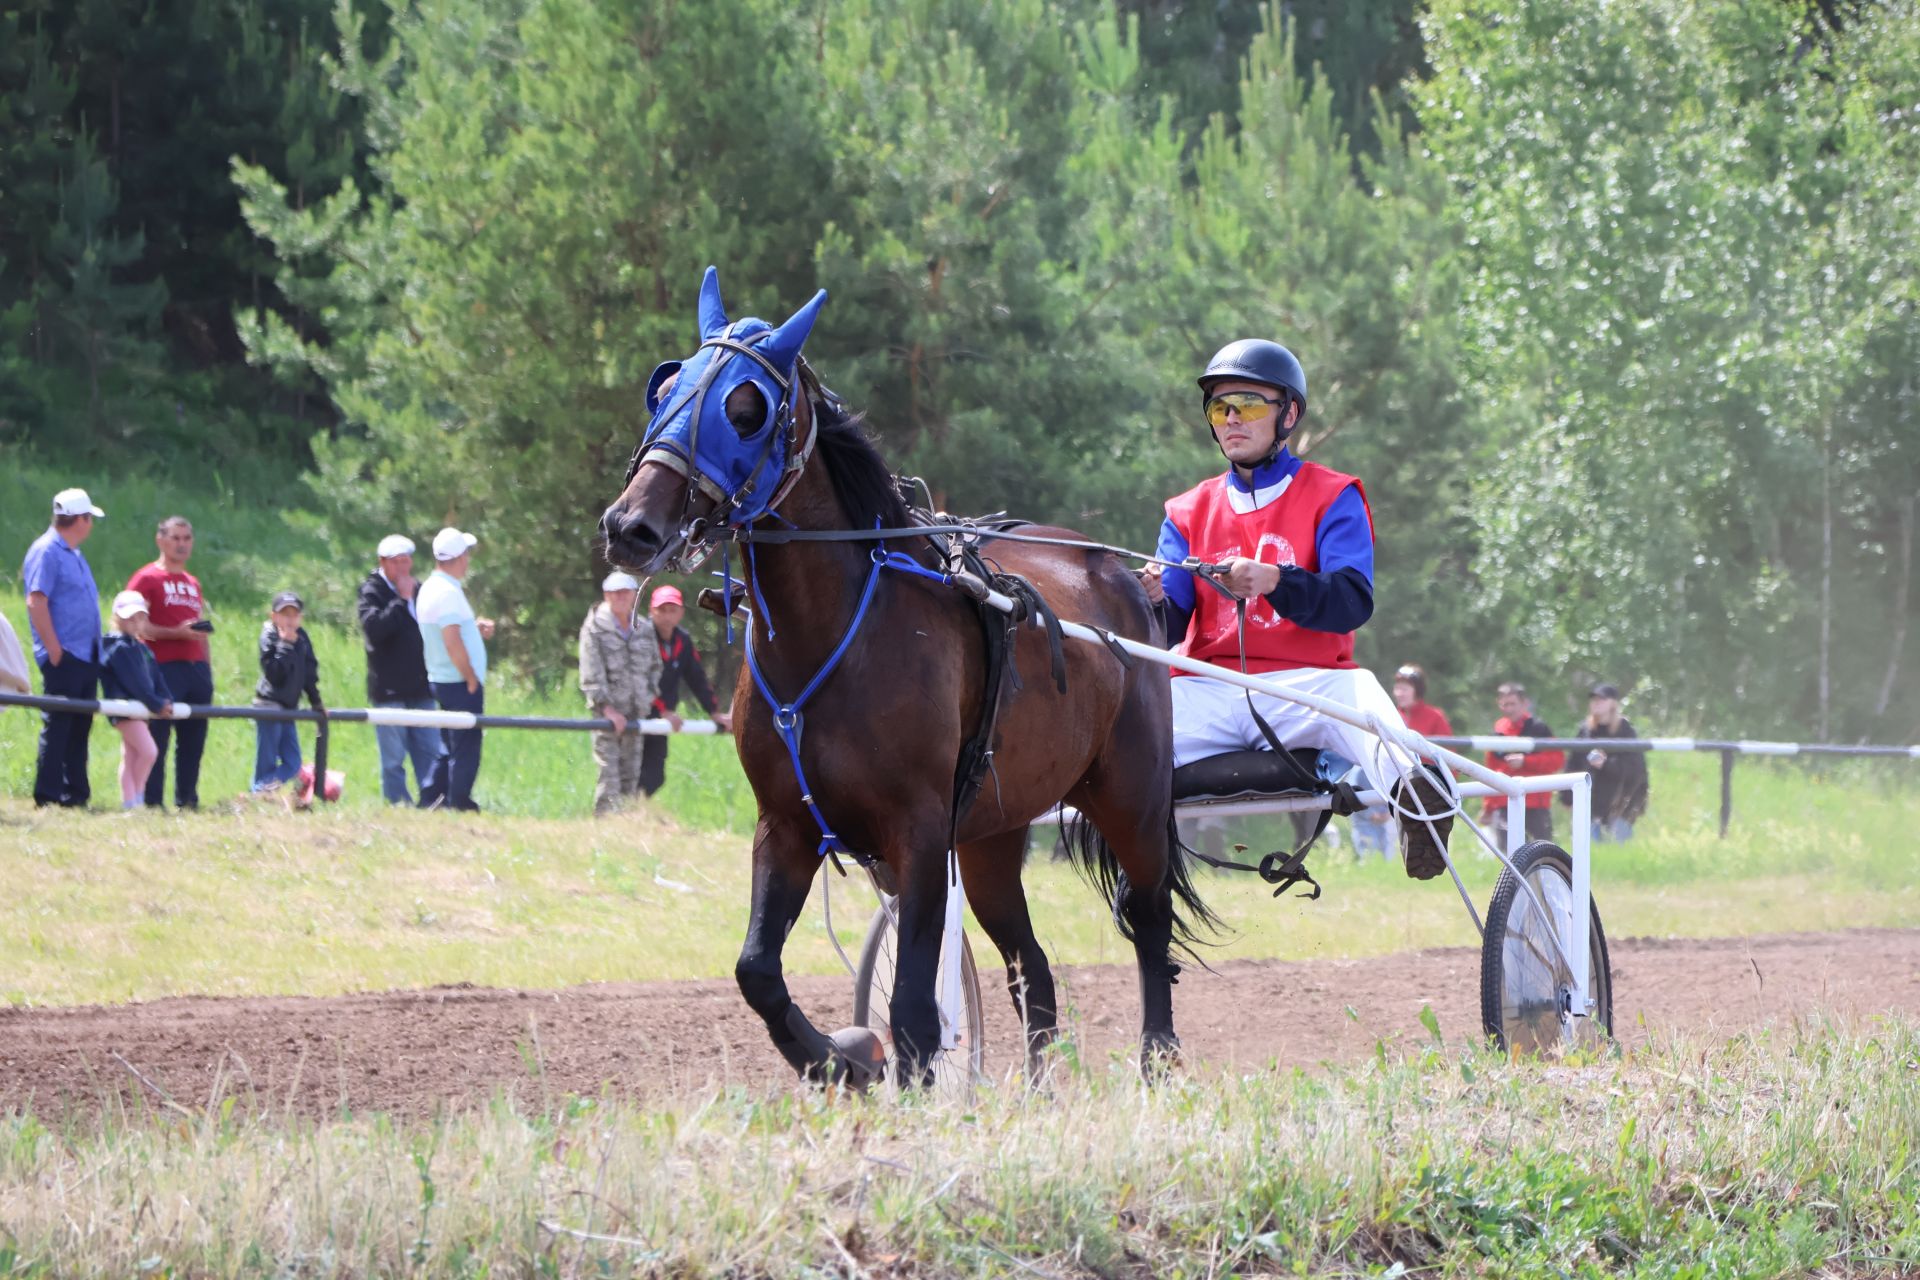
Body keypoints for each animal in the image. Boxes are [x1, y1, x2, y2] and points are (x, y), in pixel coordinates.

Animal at [595, 268, 1213, 1082]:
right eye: (664, 389)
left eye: (746, 409)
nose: (629, 526)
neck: (834, 637)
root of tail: (1118, 573)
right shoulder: (786, 823)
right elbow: (757, 971)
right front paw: (839, 1061)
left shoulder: (917, 833)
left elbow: (916, 1014)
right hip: (990, 838)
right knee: (1031, 964)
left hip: (1131, 797)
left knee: (1147, 922)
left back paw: (1157, 1063)